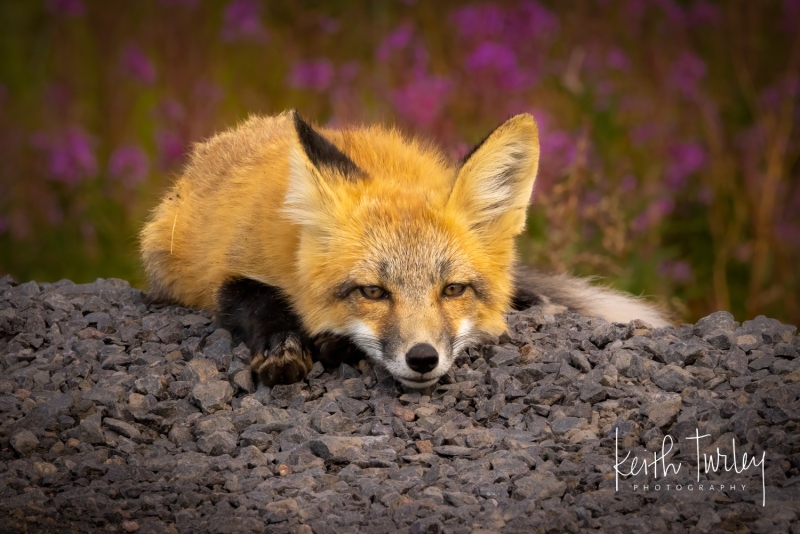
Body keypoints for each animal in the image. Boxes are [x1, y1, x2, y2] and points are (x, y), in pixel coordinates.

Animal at [140, 110, 669, 389]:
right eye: (373, 292)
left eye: (453, 289)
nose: (422, 359)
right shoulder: (227, 268)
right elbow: (257, 300)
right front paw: (286, 345)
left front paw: (330, 341)